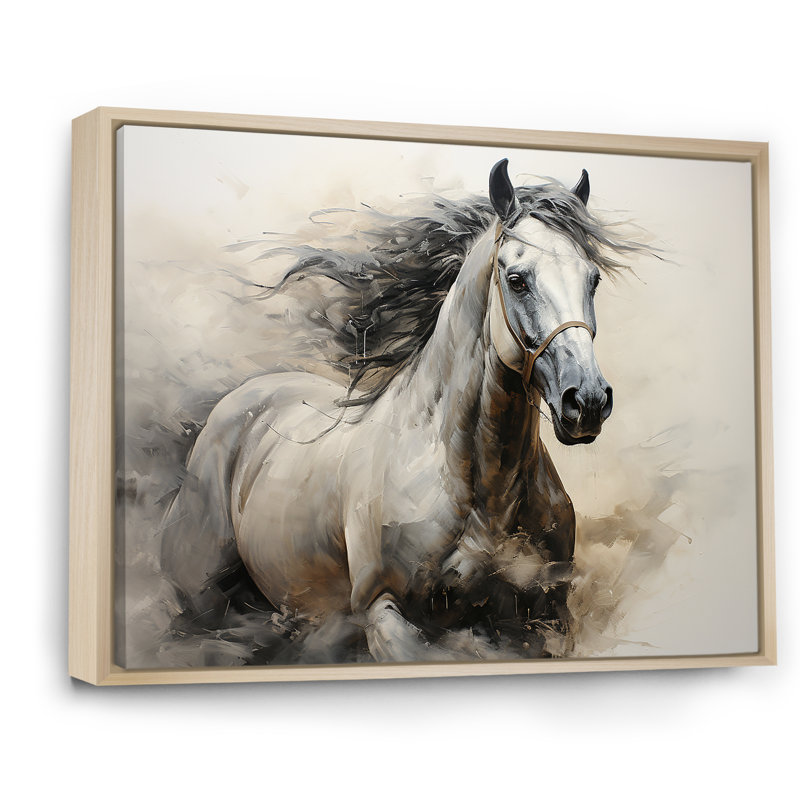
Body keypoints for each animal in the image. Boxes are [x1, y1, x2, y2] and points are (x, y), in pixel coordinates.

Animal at [159, 159, 635, 663]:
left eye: (593, 280)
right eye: (517, 280)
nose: (587, 401)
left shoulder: (544, 621)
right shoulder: (385, 614)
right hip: (201, 606)